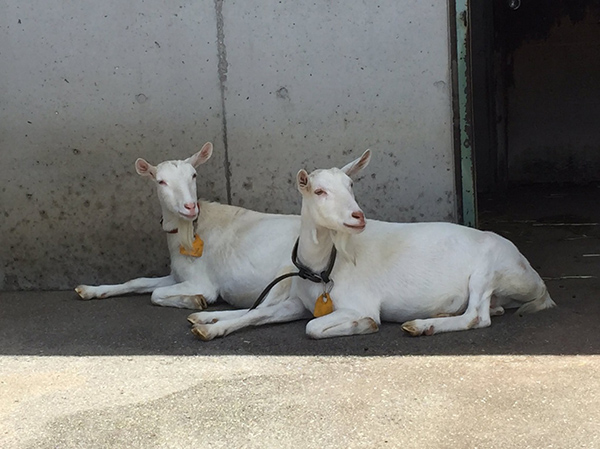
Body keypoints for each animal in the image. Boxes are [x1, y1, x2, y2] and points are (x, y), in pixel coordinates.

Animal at [75, 143, 300, 308]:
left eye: (194, 175)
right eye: (161, 181)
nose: (190, 206)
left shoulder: (202, 282)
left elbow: (156, 294)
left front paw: (196, 300)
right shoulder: (177, 275)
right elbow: (138, 282)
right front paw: (90, 290)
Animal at [189, 149, 556, 338]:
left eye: (351, 184)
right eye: (319, 190)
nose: (357, 216)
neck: (326, 267)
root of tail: (539, 284)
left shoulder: (358, 301)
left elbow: (314, 327)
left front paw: (362, 325)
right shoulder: (296, 302)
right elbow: (259, 314)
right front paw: (209, 325)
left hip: (489, 268)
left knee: (478, 317)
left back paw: (422, 325)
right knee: (487, 309)